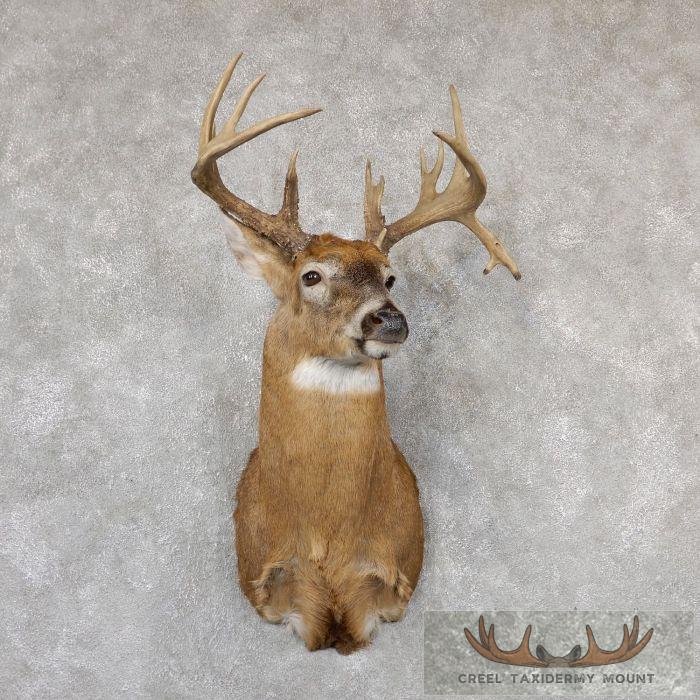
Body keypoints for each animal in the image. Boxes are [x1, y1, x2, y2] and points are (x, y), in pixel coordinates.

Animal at [191, 53, 520, 655]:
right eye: (311, 275)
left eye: (390, 277)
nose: (389, 319)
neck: (328, 537)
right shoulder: (272, 586)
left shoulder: (388, 586)